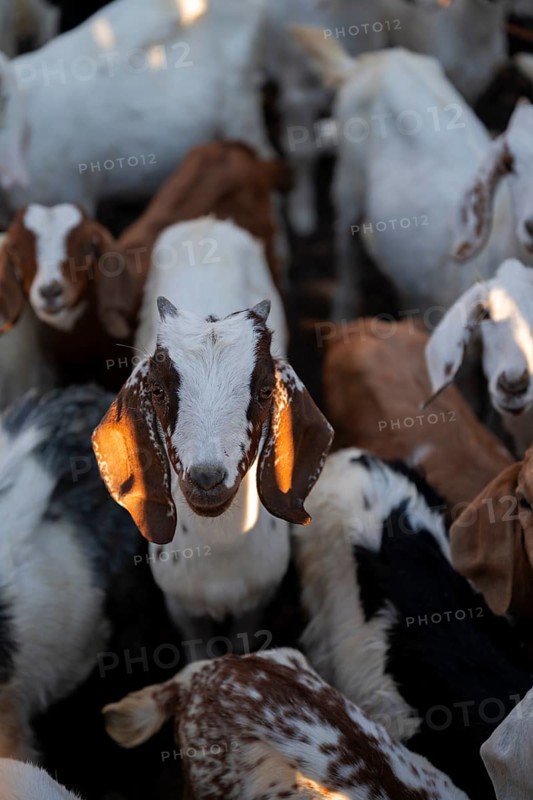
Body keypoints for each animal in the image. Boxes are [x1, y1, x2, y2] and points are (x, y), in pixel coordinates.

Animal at [92, 217, 333, 656]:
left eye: (265, 391)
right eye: (157, 390)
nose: (206, 478)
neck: (220, 550)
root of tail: (205, 222)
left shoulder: (255, 603)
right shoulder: (182, 608)